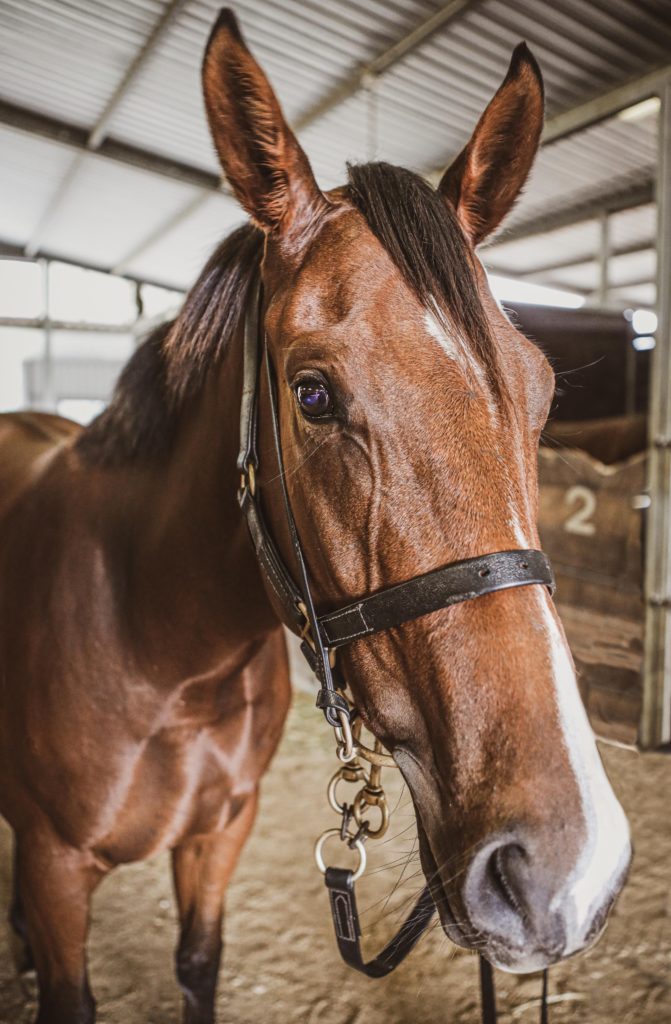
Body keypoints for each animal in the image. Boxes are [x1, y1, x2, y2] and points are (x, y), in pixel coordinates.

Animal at [0, 9, 631, 1023]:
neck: (161, 653)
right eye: (312, 393)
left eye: (537, 395)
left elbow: (198, 964)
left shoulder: (218, 839)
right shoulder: (58, 872)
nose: (562, 871)